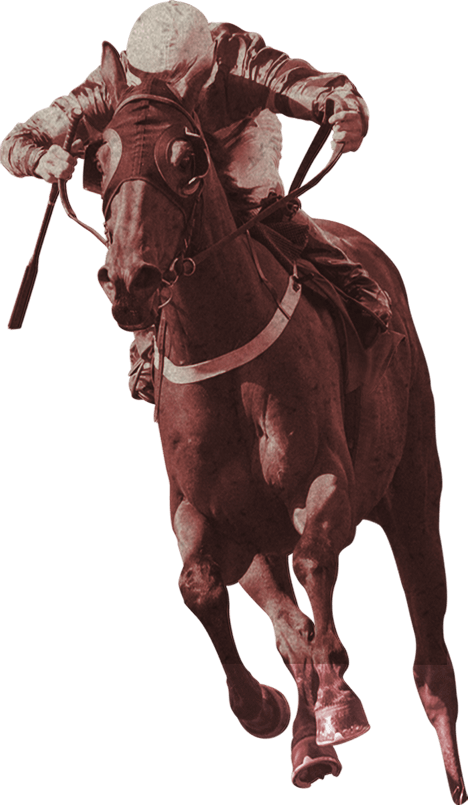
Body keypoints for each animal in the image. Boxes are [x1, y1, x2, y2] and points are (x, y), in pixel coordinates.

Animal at [88, 42, 465, 802]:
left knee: (431, 655)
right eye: (98, 160)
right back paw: (306, 745)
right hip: (261, 542)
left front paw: (338, 702)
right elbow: (200, 587)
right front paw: (262, 709)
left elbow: (316, 557)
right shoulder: (203, 511)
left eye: (186, 155)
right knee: (287, 622)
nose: (131, 281)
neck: (221, 343)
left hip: (413, 487)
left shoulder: (326, 480)